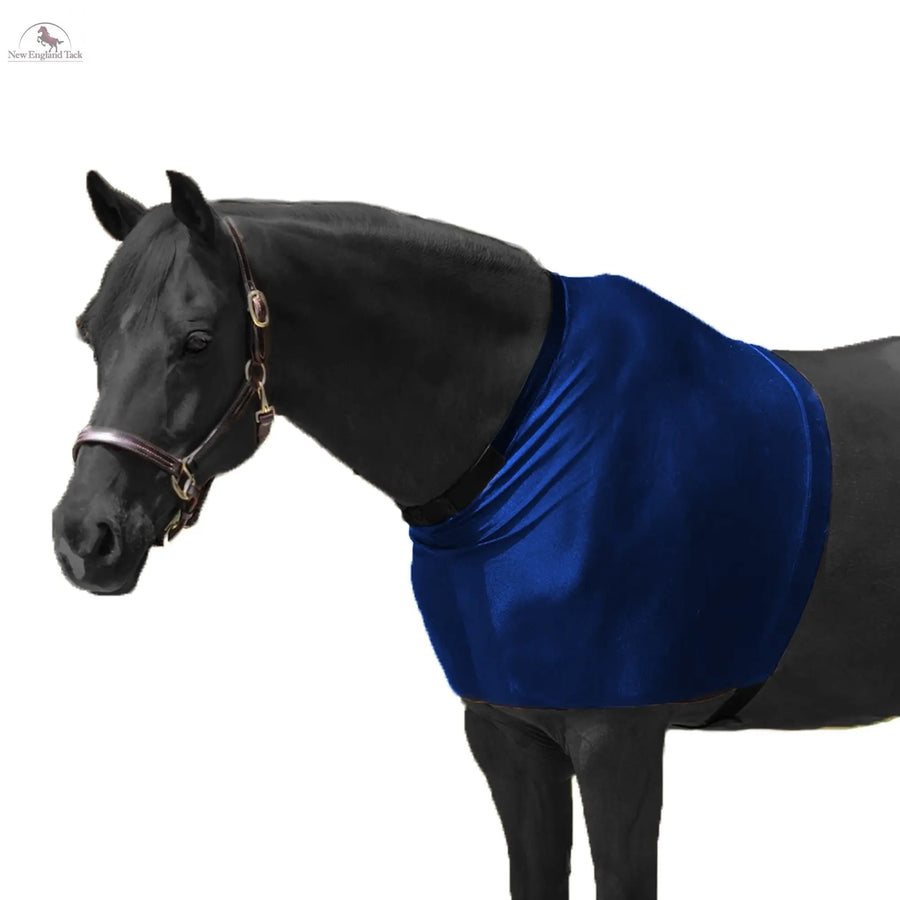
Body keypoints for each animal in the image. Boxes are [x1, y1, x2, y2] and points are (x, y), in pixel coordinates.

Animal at [52, 170, 900, 899]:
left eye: (197, 339)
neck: (526, 441)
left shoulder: (619, 742)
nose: (84, 536)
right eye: (89, 333)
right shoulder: (507, 734)